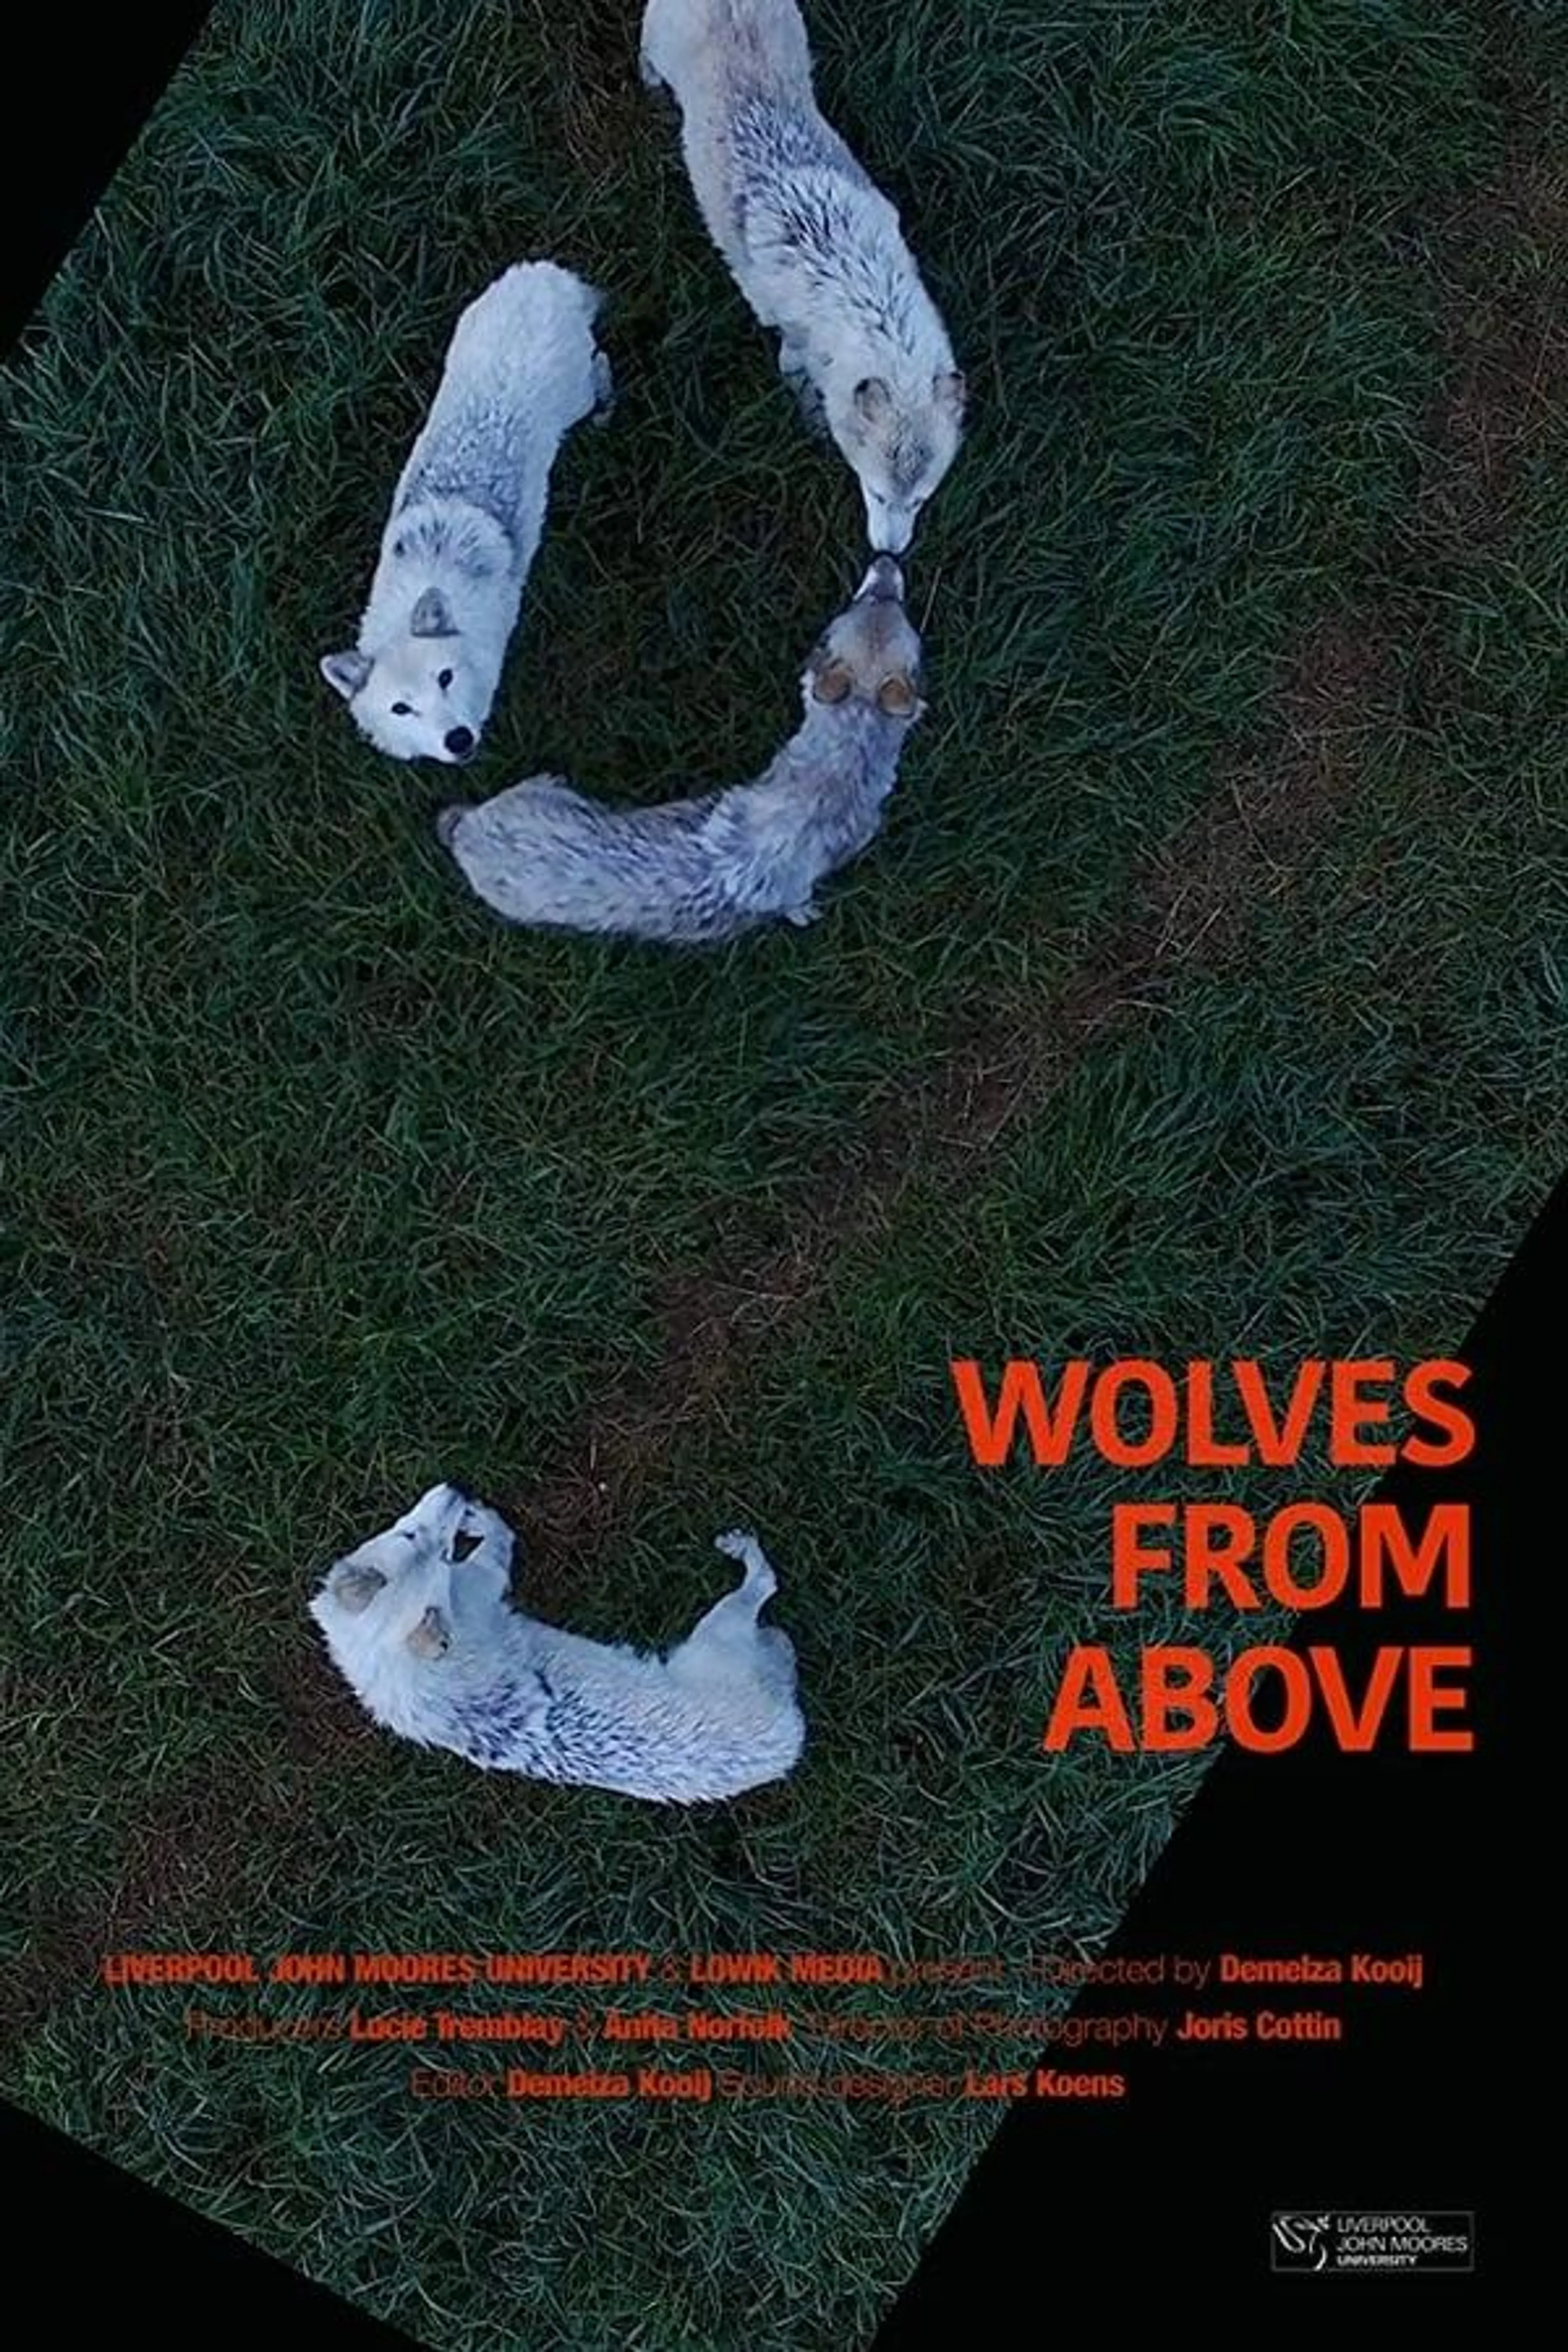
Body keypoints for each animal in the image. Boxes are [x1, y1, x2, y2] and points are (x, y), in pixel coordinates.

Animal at [309, 1483, 806, 1804]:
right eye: (411, 1535)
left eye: (439, 1549)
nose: (456, 1489)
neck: (392, 1659)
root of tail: (789, 1740)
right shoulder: (483, 1581)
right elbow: (504, 1537)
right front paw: (484, 1519)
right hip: (720, 1629)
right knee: (767, 1584)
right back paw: (744, 1552)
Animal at [320, 261, 612, 763]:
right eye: (402, 709)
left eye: (445, 679)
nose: (458, 739)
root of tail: (540, 274)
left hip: (577, 395)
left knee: (601, 368)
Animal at [436, 554, 923, 942]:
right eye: (858, 605)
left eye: (893, 605)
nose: (886, 558)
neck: (840, 764)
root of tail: (466, 830)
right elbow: (798, 906)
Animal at [639, 0, 965, 553]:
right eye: (877, 494)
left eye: (920, 501)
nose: (888, 552)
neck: (859, 286)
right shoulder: (789, 337)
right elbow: (801, 384)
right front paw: (813, 423)